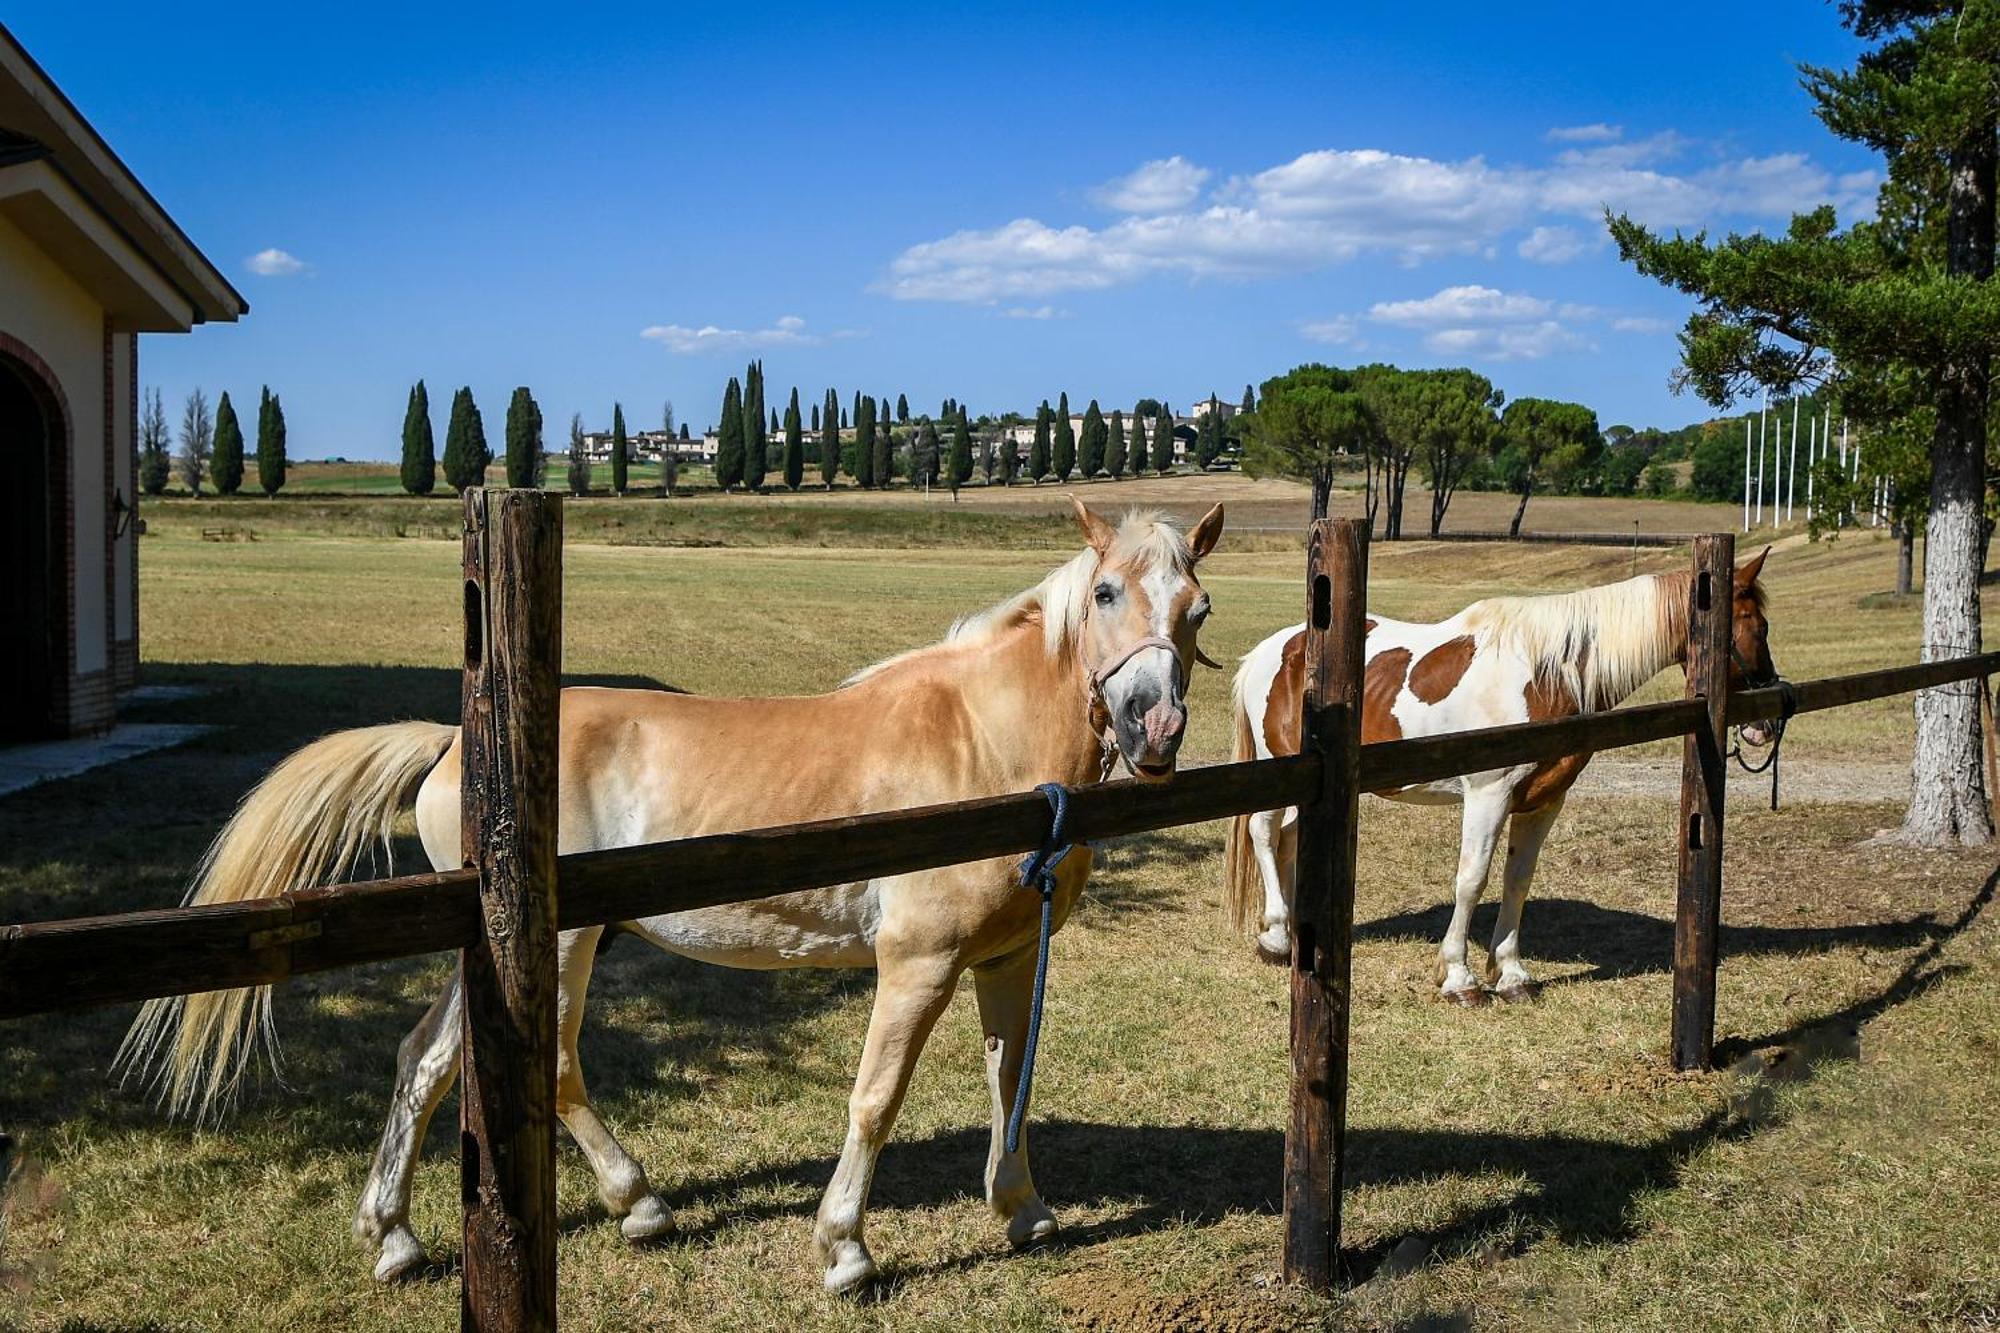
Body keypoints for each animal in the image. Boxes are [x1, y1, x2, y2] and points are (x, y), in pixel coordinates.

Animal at [125, 498, 1224, 1288]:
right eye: (1108, 592)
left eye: (1197, 608)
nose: (1155, 726)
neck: (978, 747)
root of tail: (451, 748)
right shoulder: (915, 960)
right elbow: (874, 1097)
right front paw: (844, 1249)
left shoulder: (1008, 953)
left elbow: (1010, 1080)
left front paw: (1023, 1209)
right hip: (560, 946)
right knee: (552, 1065)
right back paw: (638, 1201)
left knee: (425, 1059)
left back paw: (395, 1236)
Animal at [1224, 548, 1776, 996]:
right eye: (1757, 626)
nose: (1765, 723)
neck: (1548, 671)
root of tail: (1272, 650)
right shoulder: (1488, 794)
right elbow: (1472, 879)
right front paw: (1458, 977)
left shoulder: (1543, 800)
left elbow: (1517, 879)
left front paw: (1510, 974)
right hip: (1278, 768)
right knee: (1264, 833)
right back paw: (1278, 935)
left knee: (1289, 838)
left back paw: (1291, 932)